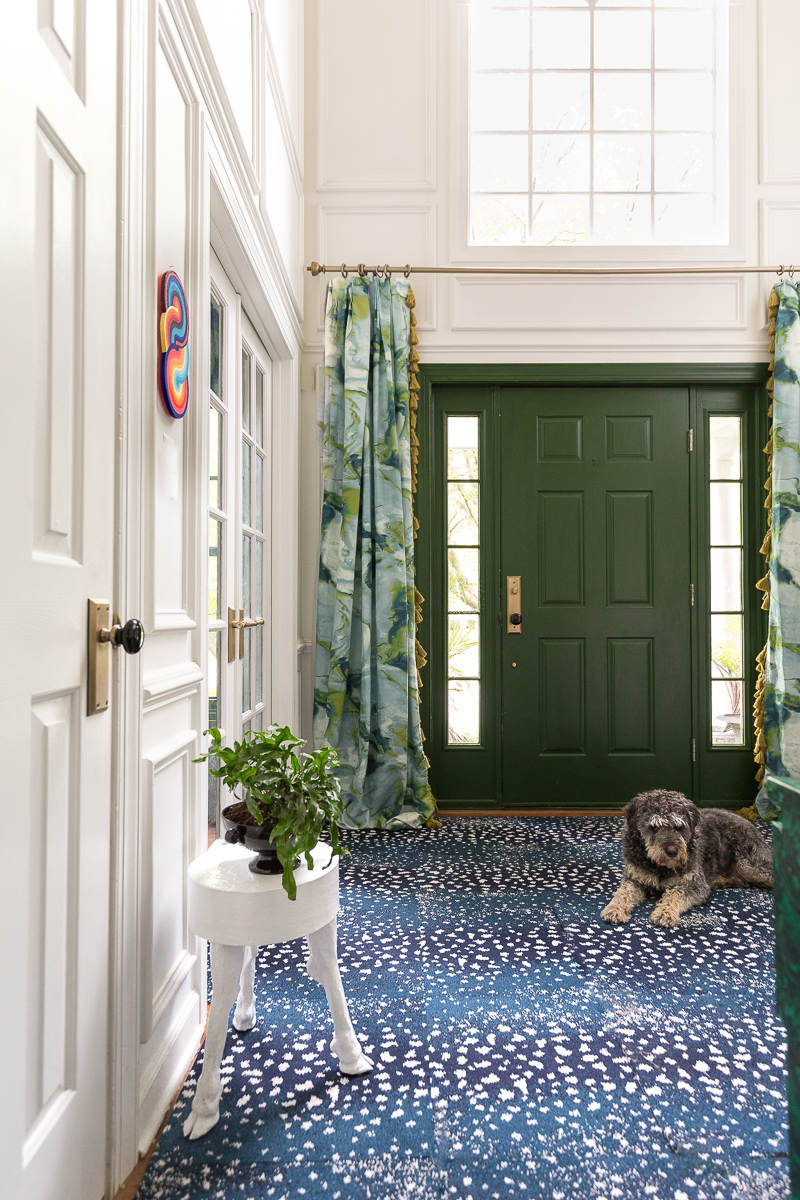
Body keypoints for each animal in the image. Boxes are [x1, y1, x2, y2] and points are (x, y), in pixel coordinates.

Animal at [604, 792, 772, 931]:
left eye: (679, 827)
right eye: (653, 827)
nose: (672, 851)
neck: (660, 866)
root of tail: (749, 823)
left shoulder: (695, 885)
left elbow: (675, 893)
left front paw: (665, 912)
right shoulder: (634, 879)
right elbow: (623, 892)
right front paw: (614, 909)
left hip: (750, 865)